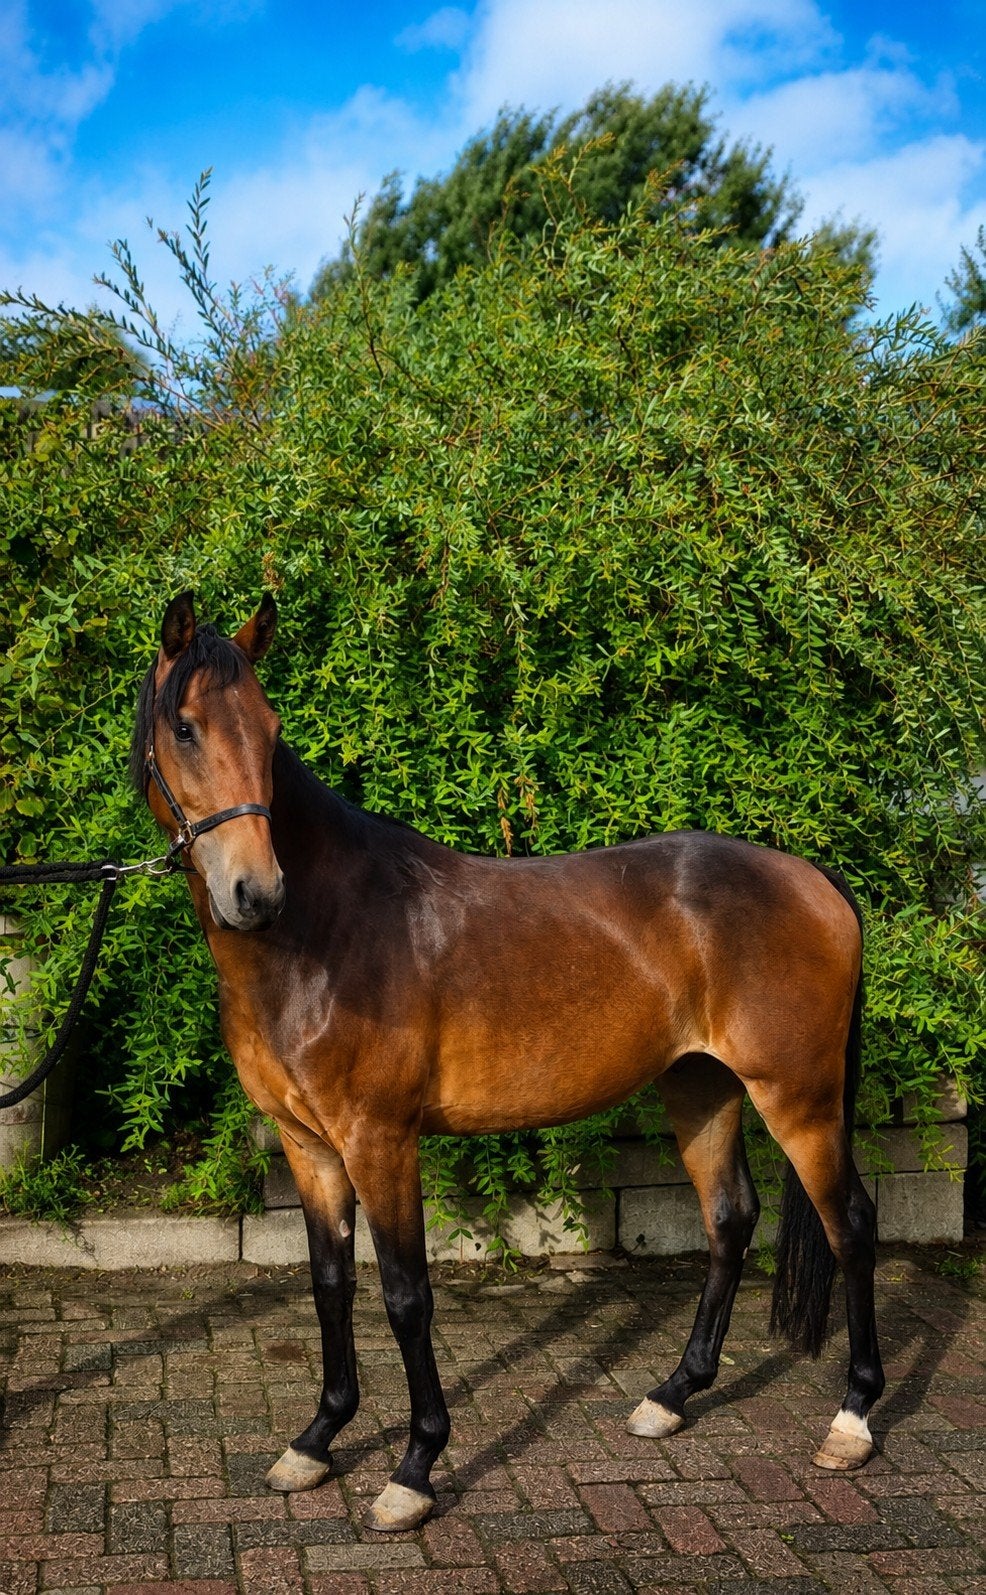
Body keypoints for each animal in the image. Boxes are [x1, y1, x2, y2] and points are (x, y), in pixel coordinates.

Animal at [131, 591, 884, 1532]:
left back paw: (852, 1419)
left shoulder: (381, 1140)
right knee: (730, 1218)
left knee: (849, 1223)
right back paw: (671, 1396)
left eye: (269, 732)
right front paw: (315, 1440)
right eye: (186, 728)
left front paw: (414, 1468)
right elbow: (330, 1283)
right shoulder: (310, 1147)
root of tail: (814, 877)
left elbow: (406, 1295)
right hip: (701, 1088)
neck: (325, 930)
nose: (255, 892)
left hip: (799, 1097)